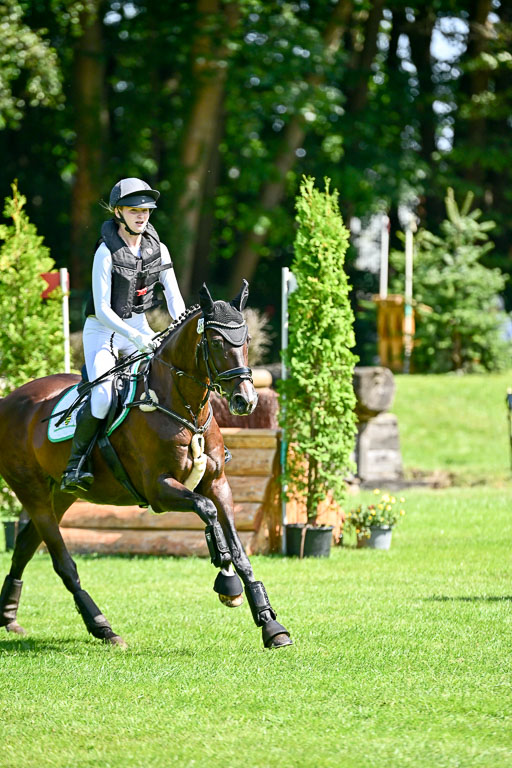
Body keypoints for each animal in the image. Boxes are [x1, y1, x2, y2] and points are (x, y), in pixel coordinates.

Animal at [0, 281, 292, 649]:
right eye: (215, 342)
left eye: (246, 339)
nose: (246, 401)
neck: (183, 409)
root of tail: (8, 400)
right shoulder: (159, 489)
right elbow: (207, 511)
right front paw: (226, 579)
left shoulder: (218, 483)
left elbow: (238, 547)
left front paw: (270, 624)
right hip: (32, 491)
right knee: (62, 562)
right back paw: (103, 627)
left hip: (62, 494)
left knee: (25, 545)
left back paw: (8, 616)